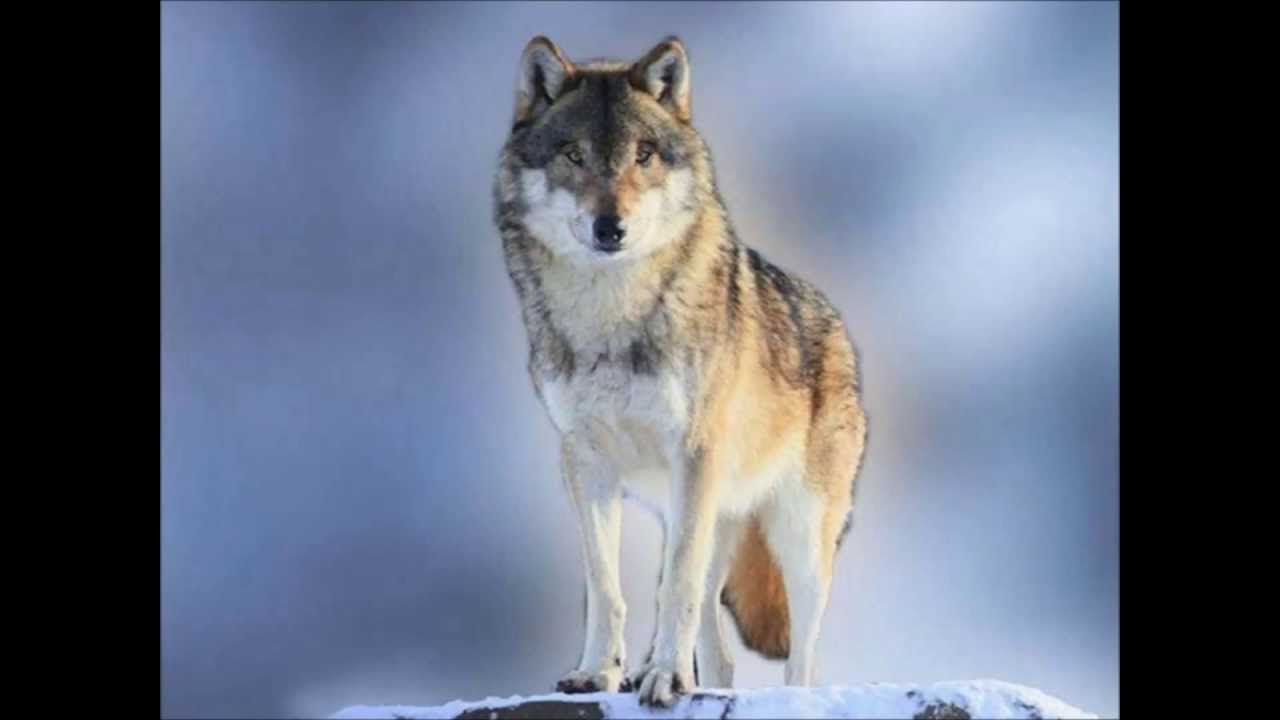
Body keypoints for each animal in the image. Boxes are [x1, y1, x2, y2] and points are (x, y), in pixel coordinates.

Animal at [493, 36, 868, 707]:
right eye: (573, 155)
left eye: (644, 155)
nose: (610, 227)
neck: (611, 316)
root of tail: (836, 323)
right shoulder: (584, 461)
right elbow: (605, 589)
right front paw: (598, 673)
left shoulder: (693, 455)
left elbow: (676, 590)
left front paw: (665, 677)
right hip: (702, 515)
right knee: (722, 653)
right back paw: (698, 685)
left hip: (796, 535)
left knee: (801, 648)